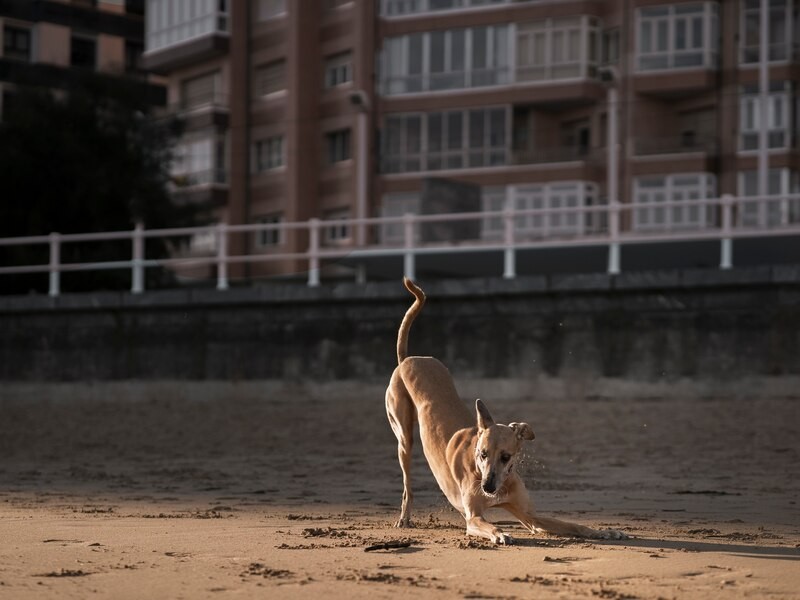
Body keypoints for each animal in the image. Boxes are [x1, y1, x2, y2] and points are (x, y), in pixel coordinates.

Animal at [382, 276, 624, 544]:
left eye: (506, 457)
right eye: (482, 454)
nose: (488, 488)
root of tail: (407, 360)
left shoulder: (531, 518)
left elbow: (572, 525)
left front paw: (604, 531)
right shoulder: (474, 518)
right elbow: (487, 525)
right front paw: (500, 534)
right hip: (404, 439)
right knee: (407, 485)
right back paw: (404, 518)